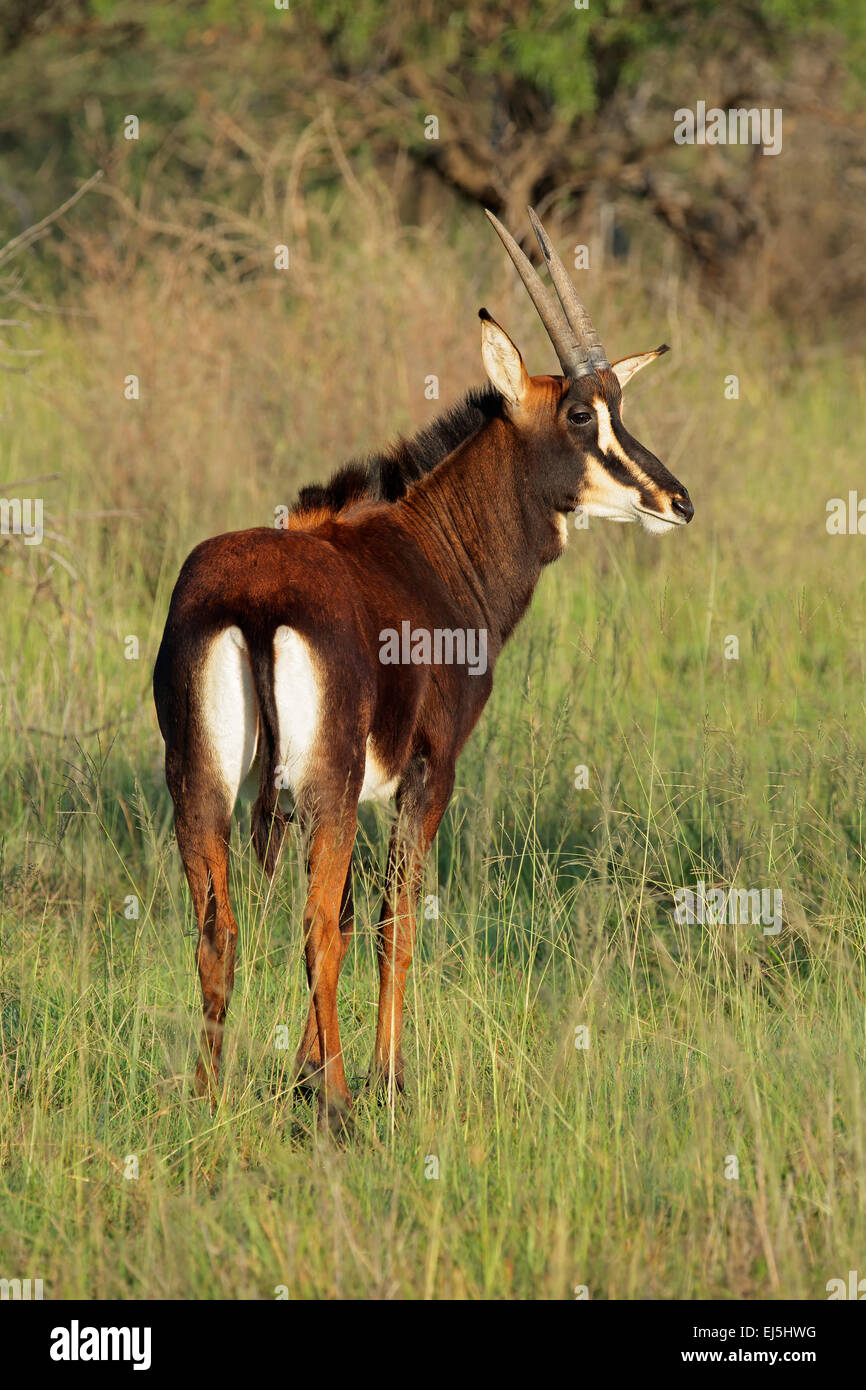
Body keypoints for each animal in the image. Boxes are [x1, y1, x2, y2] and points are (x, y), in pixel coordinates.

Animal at [152, 205, 695, 1123]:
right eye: (581, 416)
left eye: (620, 405)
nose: (676, 500)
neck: (428, 545)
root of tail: (256, 601)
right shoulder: (429, 771)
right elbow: (389, 921)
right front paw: (384, 1078)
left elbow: (347, 911)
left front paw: (304, 1074)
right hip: (323, 787)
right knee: (314, 929)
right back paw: (341, 1106)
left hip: (202, 784)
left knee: (220, 930)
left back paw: (211, 1099)